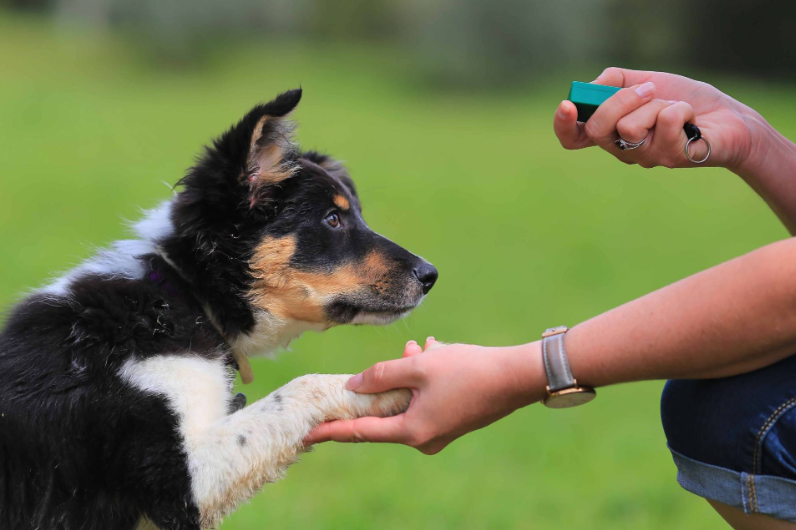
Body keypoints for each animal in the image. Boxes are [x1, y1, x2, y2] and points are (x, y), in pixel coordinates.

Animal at [0, 91, 436, 528]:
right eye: (332, 219)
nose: (431, 275)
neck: (181, 297)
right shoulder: (180, 482)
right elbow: (302, 387)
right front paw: (393, 385)